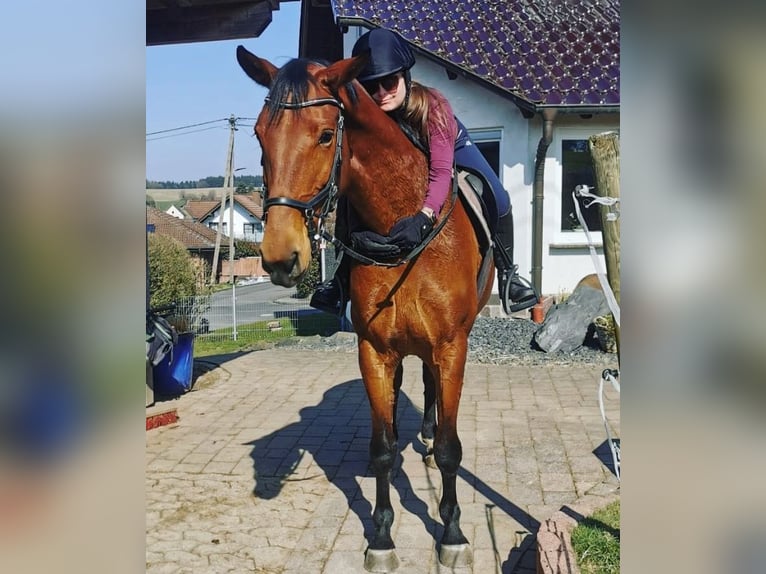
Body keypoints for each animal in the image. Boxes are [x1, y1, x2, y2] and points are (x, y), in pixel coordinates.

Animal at [236, 46, 493, 572]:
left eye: (325, 134)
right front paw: (381, 536)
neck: (403, 234)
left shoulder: (451, 348)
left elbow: (451, 450)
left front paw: (452, 531)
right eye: (259, 134)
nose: (279, 256)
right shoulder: (374, 351)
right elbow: (381, 450)